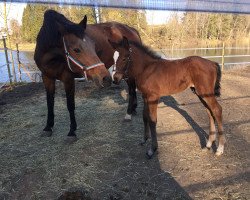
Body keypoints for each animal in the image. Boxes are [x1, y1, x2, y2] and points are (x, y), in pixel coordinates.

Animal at [34, 9, 142, 141]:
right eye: (76, 49)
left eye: (93, 45)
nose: (106, 78)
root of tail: (132, 29)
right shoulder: (47, 77)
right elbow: (49, 103)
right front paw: (48, 127)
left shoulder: (68, 78)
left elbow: (70, 105)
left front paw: (72, 131)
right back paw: (133, 109)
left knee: (131, 89)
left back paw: (129, 113)